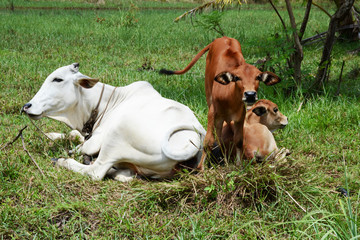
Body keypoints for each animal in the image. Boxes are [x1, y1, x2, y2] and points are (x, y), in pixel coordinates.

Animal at [23, 63, 205, 182]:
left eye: (58, 79)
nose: (26, 106)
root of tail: (195, 138)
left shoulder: (97, 139)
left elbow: (83, 147)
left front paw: (70, 151)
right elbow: (74, 134)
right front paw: (52, 135)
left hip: (117, 134)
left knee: (95, 171)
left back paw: (62, 161)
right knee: (125, 176)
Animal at [160, 37, 282, 169]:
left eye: (258, 77)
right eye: (237, 77)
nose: (250, 94)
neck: (229, 98)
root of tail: (223, 38)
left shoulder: (240, 116)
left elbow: (238, 140)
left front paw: (238, 164)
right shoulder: (212, 113)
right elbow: (208, 140)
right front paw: (202, 168)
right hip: (209, 96)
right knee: (216, 136)